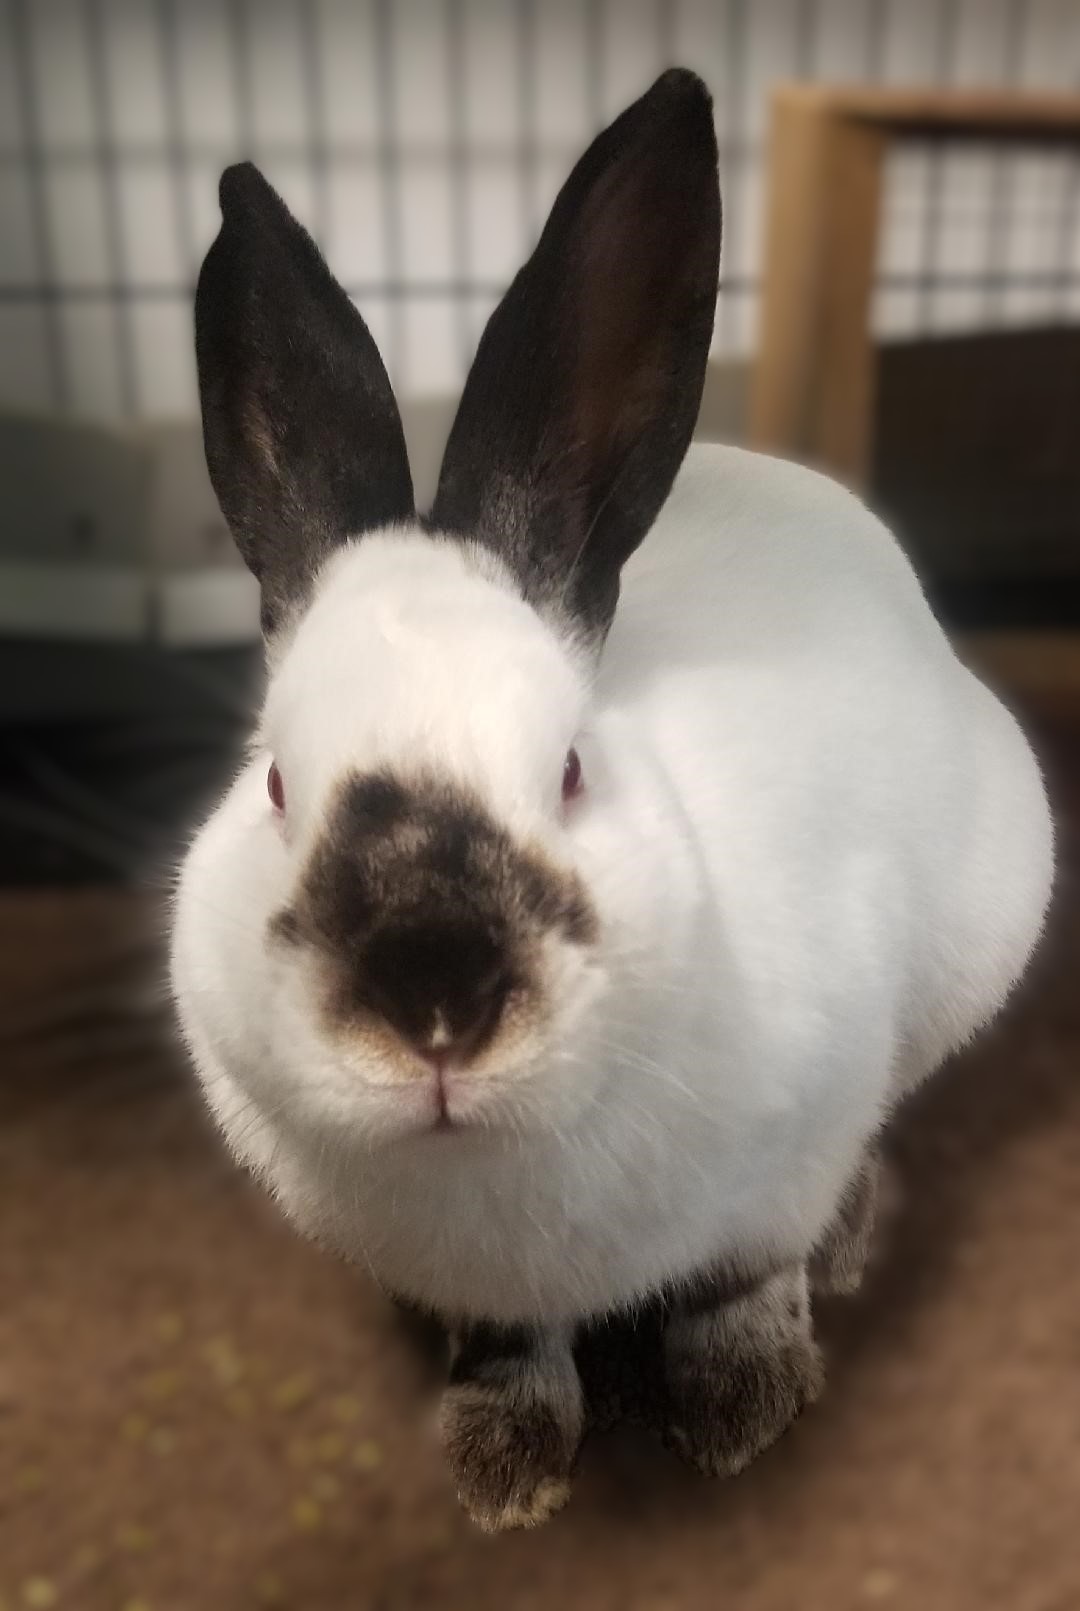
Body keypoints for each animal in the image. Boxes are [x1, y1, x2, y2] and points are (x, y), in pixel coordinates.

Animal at [171, 72, 1057, 1533]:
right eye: (277, 779)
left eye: (574, 767)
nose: (436, 1010)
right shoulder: (475, 1287)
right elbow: (504, 1346)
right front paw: (503, 1464)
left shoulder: (787, 1155)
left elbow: (739, 1282)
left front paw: (740, 1409)